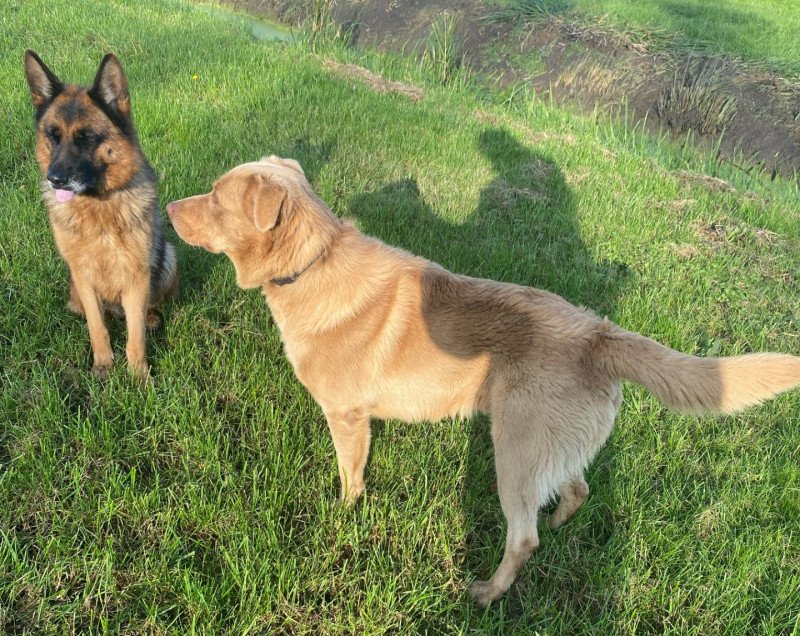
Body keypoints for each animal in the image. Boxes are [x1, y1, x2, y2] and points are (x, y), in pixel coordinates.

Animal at [23, 52, 178, 380]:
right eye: (52, 136)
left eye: (87, 138)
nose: (54, 179)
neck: (99, 209)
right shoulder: (83, 275)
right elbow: (97, 327)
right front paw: (104, 365)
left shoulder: (137, 277)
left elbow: (135, 335)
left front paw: (138, 375)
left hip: (167, 257)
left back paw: (150, 318)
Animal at [166, 157, 796, 604]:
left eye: (216, 198)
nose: (167, 206)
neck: (311, 261)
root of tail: (599, 334)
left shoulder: (346, 416)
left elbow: (350, 478)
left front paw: (344, 515)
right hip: (552, 446)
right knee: (576, 489)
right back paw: (559, 524)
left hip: (512, 451)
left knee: (523, 537)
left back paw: (489, 592)